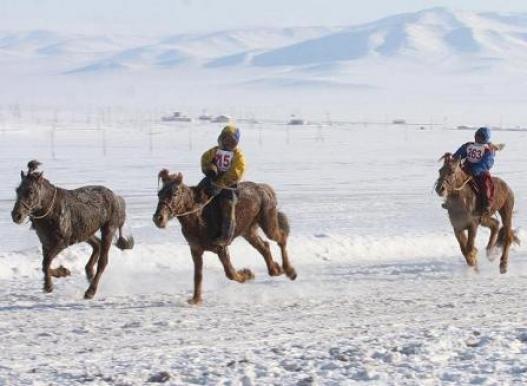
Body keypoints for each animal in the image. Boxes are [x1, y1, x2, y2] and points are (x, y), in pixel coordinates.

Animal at [11, 160, 134, 298]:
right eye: (17, 190)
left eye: (30, 191)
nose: (16, 215)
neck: (50, 211)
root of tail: (116, 197)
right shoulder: (46, 243)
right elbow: (45, 264)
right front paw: (63, 272)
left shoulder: (61, 242)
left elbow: (46, 262)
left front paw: (49, 285)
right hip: (85, 232)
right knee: (97, 245)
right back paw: (89, 274)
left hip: (108, 229)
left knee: (103, 261)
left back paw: (91, 291)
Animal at [152, 170, 296, 304]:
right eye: (159, 194)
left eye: (174, 194)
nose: (158, 218)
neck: (198, 217)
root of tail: (265, 188)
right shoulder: (196, 250)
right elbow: (198, 276)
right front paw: (196, 299)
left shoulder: (220, 247)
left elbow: (230, 273)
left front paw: (247, 274)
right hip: (248, 231)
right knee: (264, 246)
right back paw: (275, 269)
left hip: (267, 223)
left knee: (281, 238)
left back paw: (289, 271)